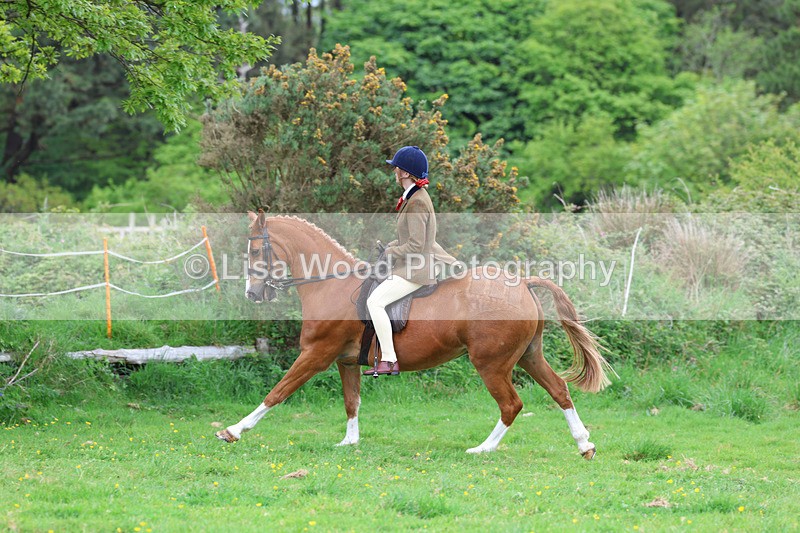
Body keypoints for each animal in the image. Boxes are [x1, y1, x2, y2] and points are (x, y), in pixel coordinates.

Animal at [215, 212, 613, 459]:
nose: (253, 294)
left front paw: (233, 430)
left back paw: (483, 449)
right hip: (529, 355)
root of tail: (523, 283)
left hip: (491, 364)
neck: (329, 284)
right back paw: (584, 444)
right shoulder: (346, 361)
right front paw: (349, 442)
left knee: (511, 405)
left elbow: (277, 392)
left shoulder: (315, 354)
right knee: (559, 390)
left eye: (255, 250)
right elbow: (351, 402)